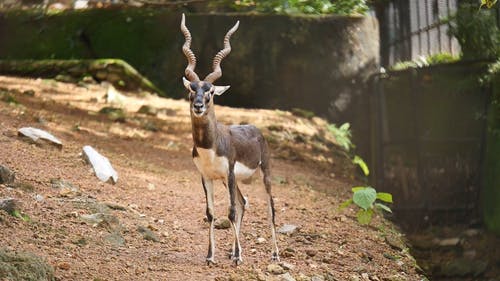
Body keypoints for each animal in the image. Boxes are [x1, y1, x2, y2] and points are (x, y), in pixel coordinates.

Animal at [181, 14, 282, 264]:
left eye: (210, 91)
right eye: (192, 89)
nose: (198, 106)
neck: (210, 146)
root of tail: (256, 129)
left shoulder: (229, 171)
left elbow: (231, 211)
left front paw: (238, 258)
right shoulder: (206, 176)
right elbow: (211, 213)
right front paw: (211, 256)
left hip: (263, 173)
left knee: (269, 208)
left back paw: (274, 254)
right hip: (231, 181)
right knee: (244, 203)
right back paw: (234, 250)